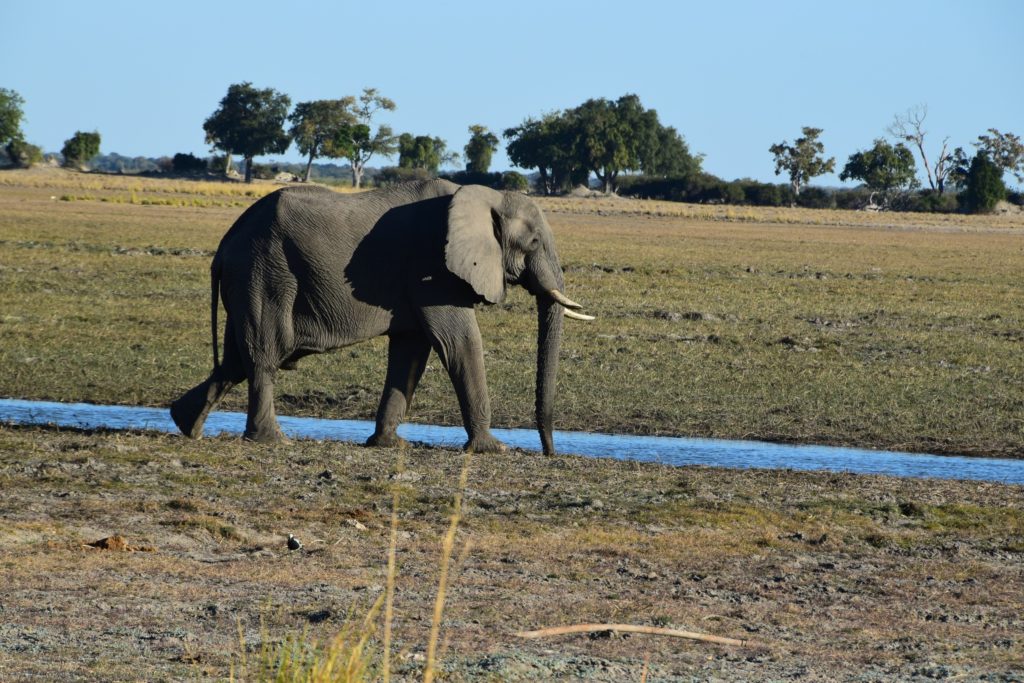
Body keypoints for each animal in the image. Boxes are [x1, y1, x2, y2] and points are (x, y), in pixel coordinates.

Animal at [169, 180, 593, 454]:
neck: (485, 196)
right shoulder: (432, 266)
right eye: (533, 242)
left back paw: (184, 424)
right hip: (265, 273)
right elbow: (459, 341)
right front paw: (493, 449)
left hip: (249, 279)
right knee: (264, 354)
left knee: (234, 359)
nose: (549, 452)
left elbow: (411, 352)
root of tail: (224, 245)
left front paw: (389, 444)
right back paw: (272, 441)